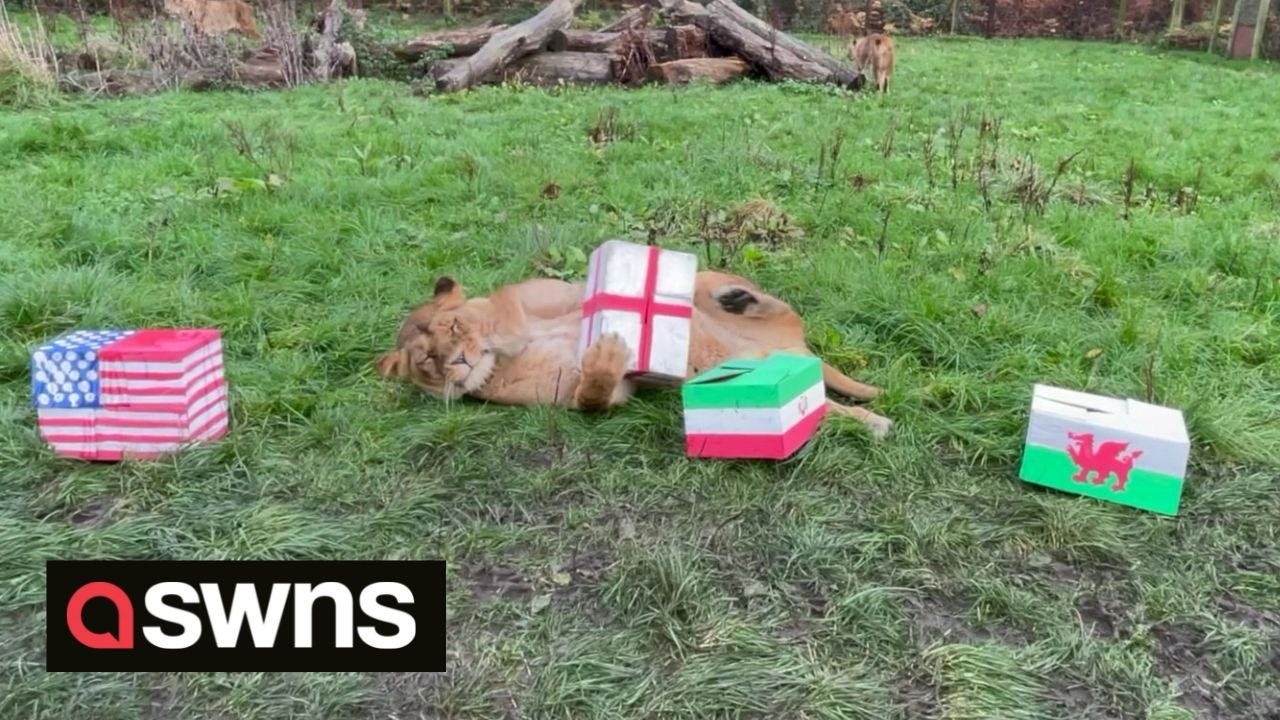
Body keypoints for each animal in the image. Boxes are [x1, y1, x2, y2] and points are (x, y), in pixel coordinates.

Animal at [375, 271, 893, 438]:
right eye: (426, 361)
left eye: (453, 327)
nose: (456, 362)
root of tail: (794, 349)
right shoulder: (599, 394)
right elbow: (595, 392)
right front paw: (606, 354)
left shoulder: (560, 293)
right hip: (759, 375)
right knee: (827, 405)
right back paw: (875, 421)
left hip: (726, 293)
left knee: (777, 305)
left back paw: (736, 298)